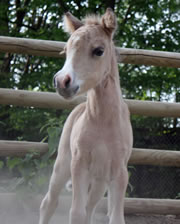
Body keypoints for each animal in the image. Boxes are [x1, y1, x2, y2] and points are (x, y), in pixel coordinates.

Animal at [39, 8, 132, 224]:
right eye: (66, 51)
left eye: (98, 50)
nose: (62, 82)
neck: (104, 121)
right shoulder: (79, 164)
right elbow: (76, 213)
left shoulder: (120, 173)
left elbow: (115, 217)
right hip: (63, 165)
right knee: (49, 203)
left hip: (99, 182)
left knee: (90, 208)